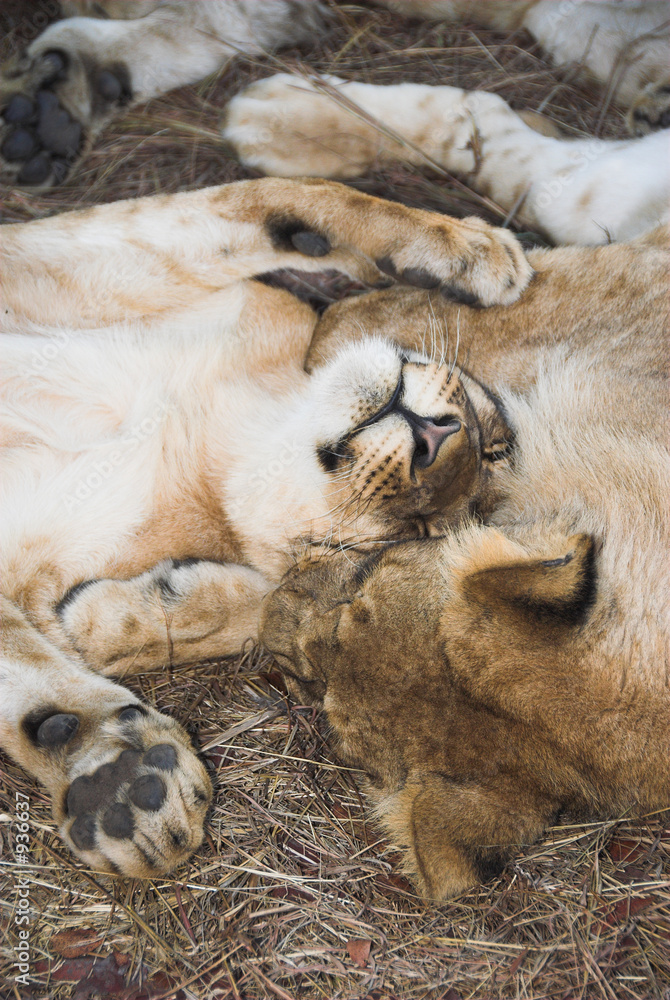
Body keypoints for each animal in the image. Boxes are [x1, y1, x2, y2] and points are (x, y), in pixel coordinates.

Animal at [0, 176, 530, 876]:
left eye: (417, 531)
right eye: (489, 441)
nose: (434, 439)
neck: (214, 418)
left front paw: (114, 781)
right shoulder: (48, 256)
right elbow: (282, 195)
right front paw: (471, 251)